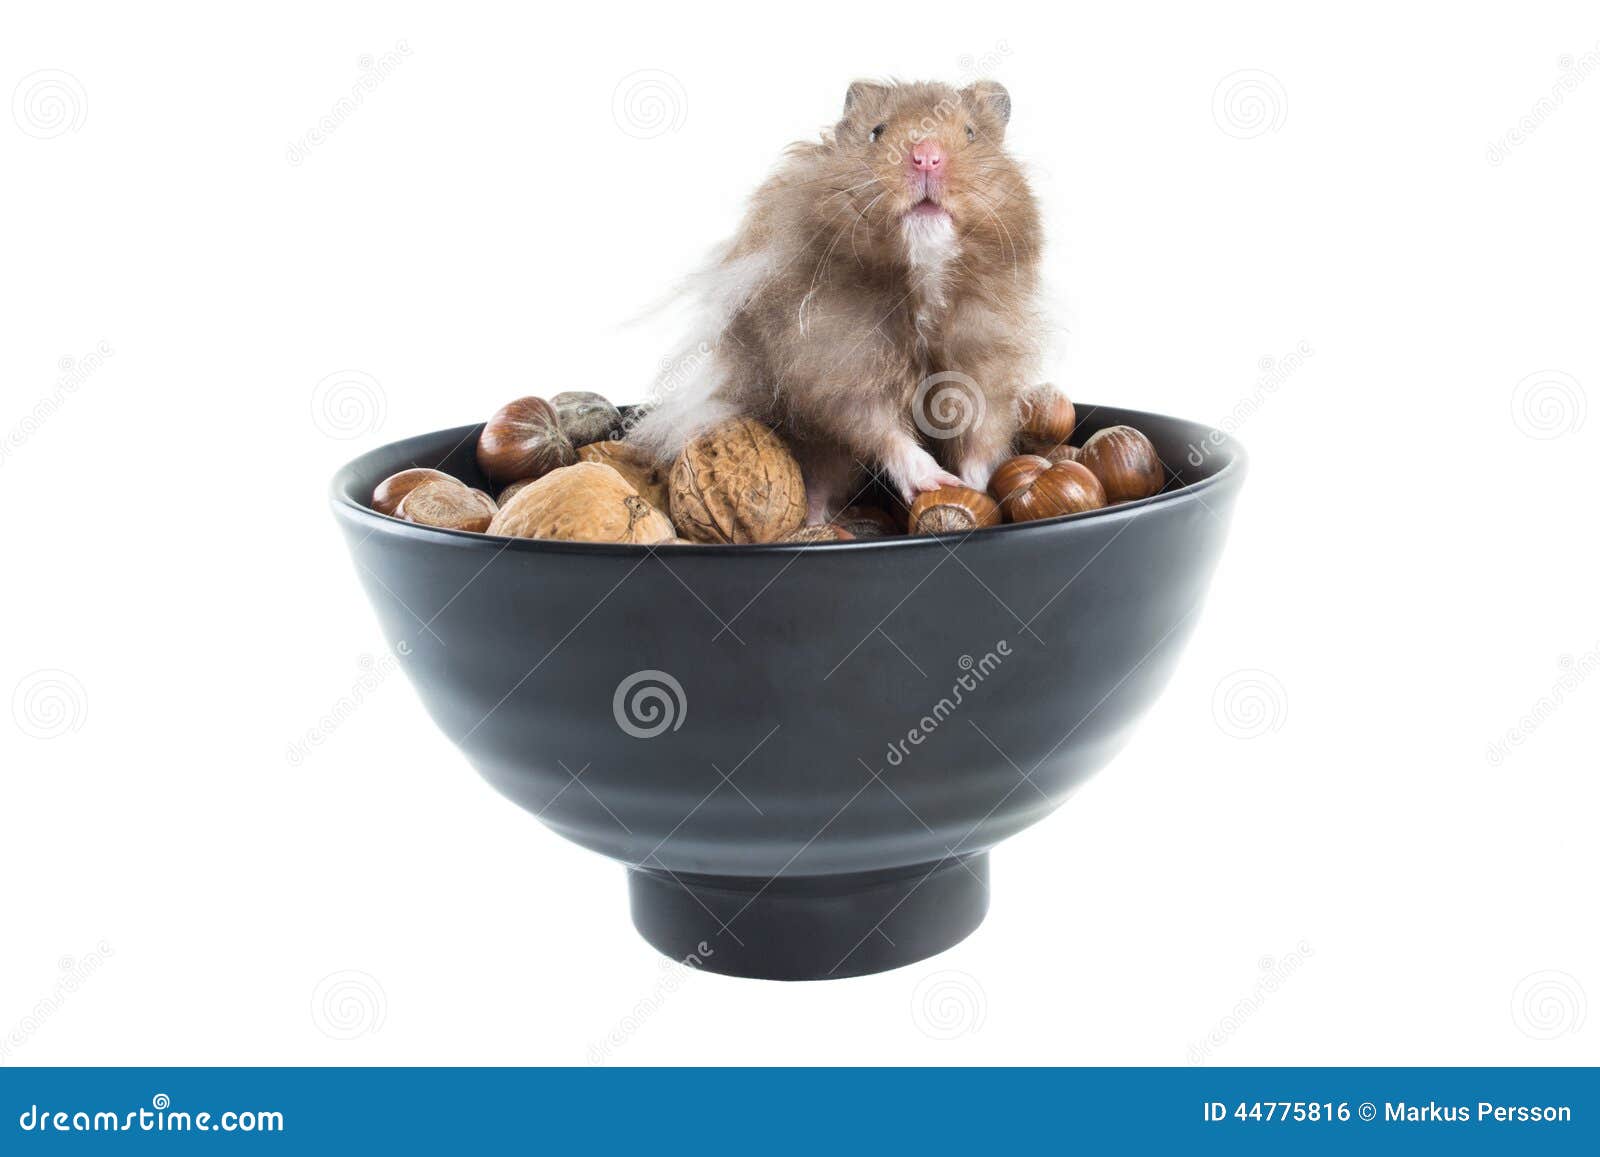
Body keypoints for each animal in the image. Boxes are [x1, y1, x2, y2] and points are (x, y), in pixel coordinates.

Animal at [629, 79, 1044, 523]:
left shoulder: (986, 359)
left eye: (970, 133)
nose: (926, 158)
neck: (922, 274)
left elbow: (981, 433)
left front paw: (975, 489)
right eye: (877, 131)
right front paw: (934, 481)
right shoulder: (838, 366)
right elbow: (880, 427)